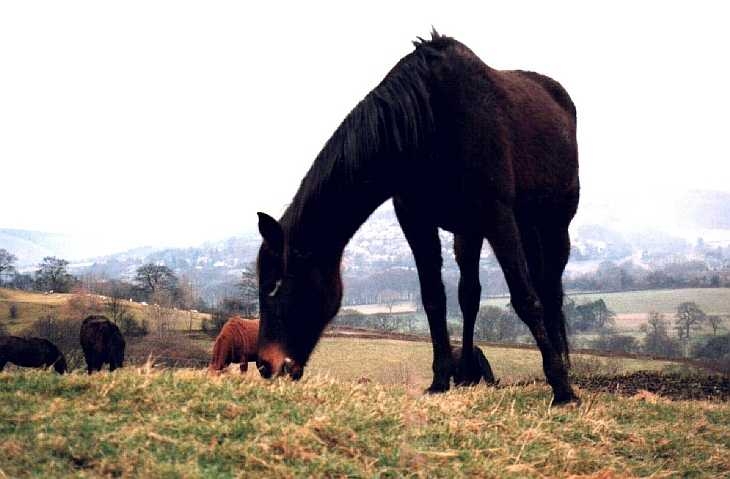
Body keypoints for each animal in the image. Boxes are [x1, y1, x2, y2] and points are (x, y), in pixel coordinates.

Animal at [255, 30, 579, 404]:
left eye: (275, 285)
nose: (265, 364)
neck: (428, 123)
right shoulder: (416, 220)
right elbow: (434, 299)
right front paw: (440, 379)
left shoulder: (497, 214)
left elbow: (526, 298)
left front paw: (562, 387)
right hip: (475, 231)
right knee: (471, 294)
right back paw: (467, 373)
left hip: (552, 222)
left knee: (549, 288)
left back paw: (562, 365)